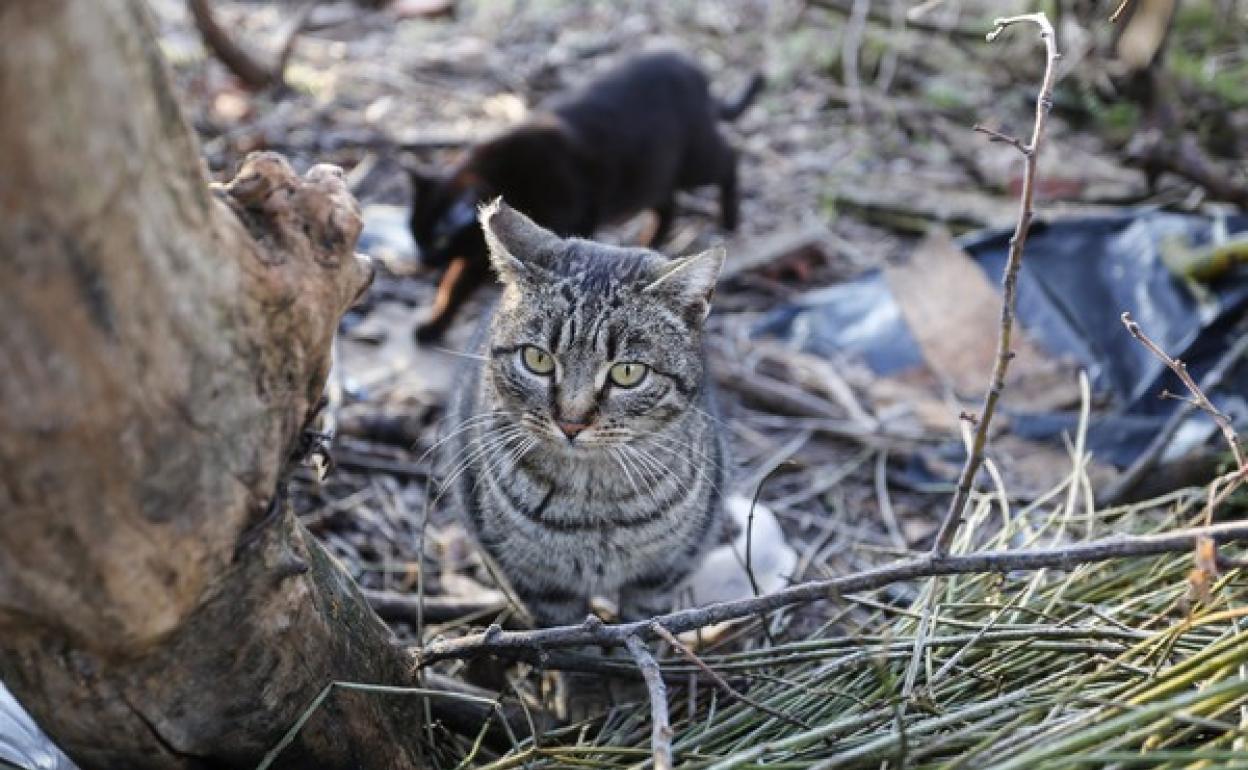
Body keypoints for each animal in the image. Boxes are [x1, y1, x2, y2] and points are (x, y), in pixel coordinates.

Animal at [409, 48, 758, 341]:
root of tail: (693, 69)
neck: (506, 176)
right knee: (667, 207)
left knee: (730, 158)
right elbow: (453, 287)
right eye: (415, 235)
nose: (422, 261)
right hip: (651, 175)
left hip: (695, 160)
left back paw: (730, 218)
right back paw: (649, 245)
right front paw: (433, 324)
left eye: (439, 239)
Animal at [441, 200, 728, 626]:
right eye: (537, 359)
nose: (570, 422)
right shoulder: (541, 585)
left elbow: (644, 623)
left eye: (628, 372)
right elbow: (567, 636)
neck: (592, 502)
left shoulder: (662, 575)